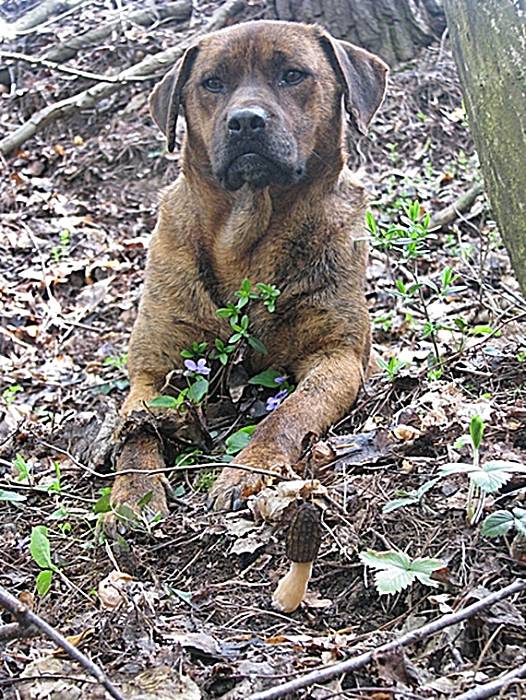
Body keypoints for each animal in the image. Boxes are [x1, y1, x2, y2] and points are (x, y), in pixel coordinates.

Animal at [110, 19, 388, 516]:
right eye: (212, 83)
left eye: (293, 75)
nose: (245, 121)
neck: (246, 239)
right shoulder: (152, 368)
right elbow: (137, 431)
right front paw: (134, 496)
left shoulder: (337, 356)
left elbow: (288, 412)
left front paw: (248, 468)